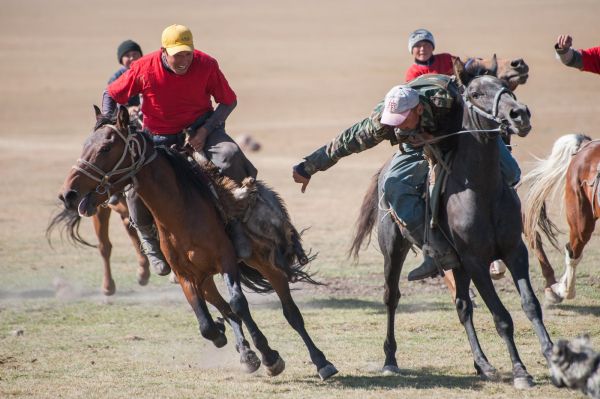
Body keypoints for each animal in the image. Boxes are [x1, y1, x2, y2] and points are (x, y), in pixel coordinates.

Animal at [58, 106, 338, 382]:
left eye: (106, 148)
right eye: (85, 145)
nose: (68, 194)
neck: (180, 214)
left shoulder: (226, 261)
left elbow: (239, 304)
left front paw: (270, 357)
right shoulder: (185, 276)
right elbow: (207, 323)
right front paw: (230, 339)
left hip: (264, 262)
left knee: (289, 312)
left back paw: (320, 361)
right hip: (205, 279)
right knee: (224, 308)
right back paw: (245, 352)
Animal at [352, 76, 552, 390]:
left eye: (504, 86)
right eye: (476, 93)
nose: (519, 114)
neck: (482, 190)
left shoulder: (513, 252)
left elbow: (531, 306)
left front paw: (554, 357)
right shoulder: (476, 261)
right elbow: (502, 317)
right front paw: (521, 372)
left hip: (456, 264)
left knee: (462, 306)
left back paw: (482, 364)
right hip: (394, 251)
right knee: (391, 297)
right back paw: (390, 359)